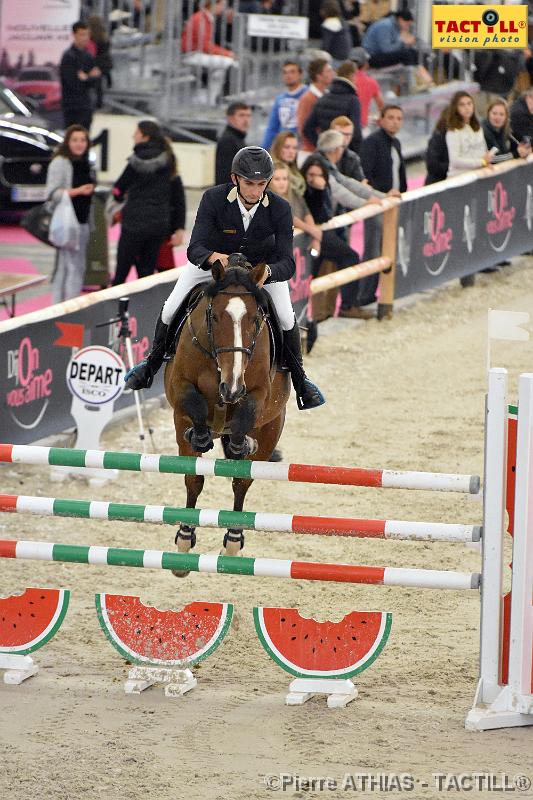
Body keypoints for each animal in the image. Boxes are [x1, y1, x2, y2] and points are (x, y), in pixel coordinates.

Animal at [164, 260, 290, 568]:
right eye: (214, 316)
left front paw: (240, 442)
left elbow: (246, 415)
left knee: (242, 480)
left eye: (255, 320)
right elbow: (193, 405)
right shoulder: (179, 387)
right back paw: (185, 537)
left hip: (272, 426)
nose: (231, 388)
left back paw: (233, 540)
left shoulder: (258, 393)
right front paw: (200, 435)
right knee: (194, 479)